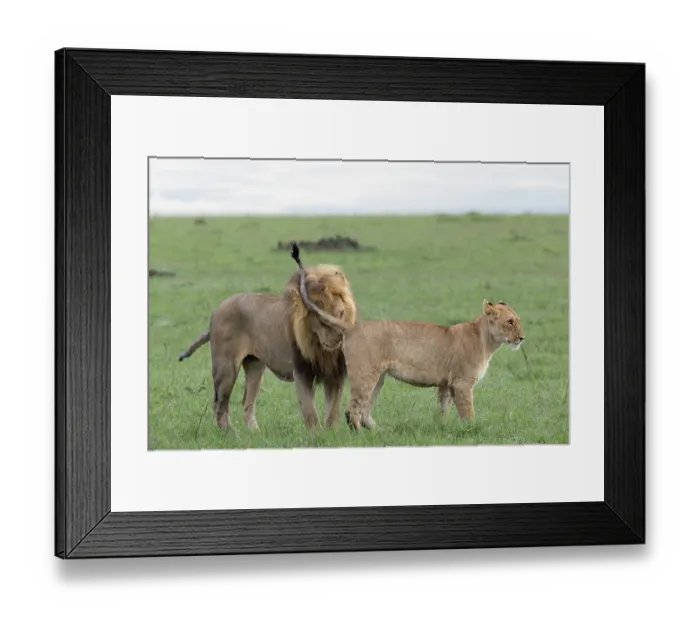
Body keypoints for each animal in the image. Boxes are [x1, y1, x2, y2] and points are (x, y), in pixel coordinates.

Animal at [177, 262, 357, 431]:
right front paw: (317, 436)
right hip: (226, 367)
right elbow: (310, 412)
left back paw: (254, 433)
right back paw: (231, 433)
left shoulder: (336, 374)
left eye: (341, 313)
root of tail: (217, 310)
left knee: (247, 401)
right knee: (220, 403)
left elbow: (333, 411)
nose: (341, 336)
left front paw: (331, 434)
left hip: (255, 367)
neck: (320, 347)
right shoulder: (301, 372)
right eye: (322, 320)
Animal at [293, 254, 525, 430]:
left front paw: (442, 428)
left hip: (378, 378)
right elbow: (468, 412)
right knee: (353, 411)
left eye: (518, 320)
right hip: (365, 374)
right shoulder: (462, 383)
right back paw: (361, 436)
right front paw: (472, 429)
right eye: (510, 322)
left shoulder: (447, 383)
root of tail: (353, 327)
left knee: (365, 411)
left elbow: (444, 409)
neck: (488, 341)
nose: (523, 338)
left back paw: (380, 432)